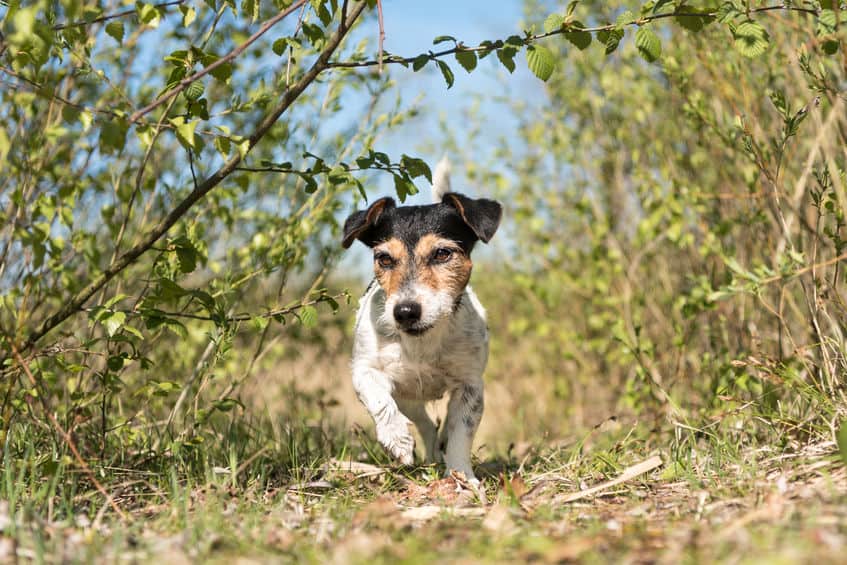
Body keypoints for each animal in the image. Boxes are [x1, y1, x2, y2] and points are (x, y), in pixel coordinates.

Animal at [340, 159, 500, 480]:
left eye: (442, 254)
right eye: (384, 258)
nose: (405, 312)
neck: (423, 341)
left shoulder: (470, 386)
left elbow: (461, 433)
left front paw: (462, 477)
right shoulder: (363, 371)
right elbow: (379, 399)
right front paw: (397, 438)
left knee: (441, 427)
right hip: (408, 398)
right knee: (425, 425)